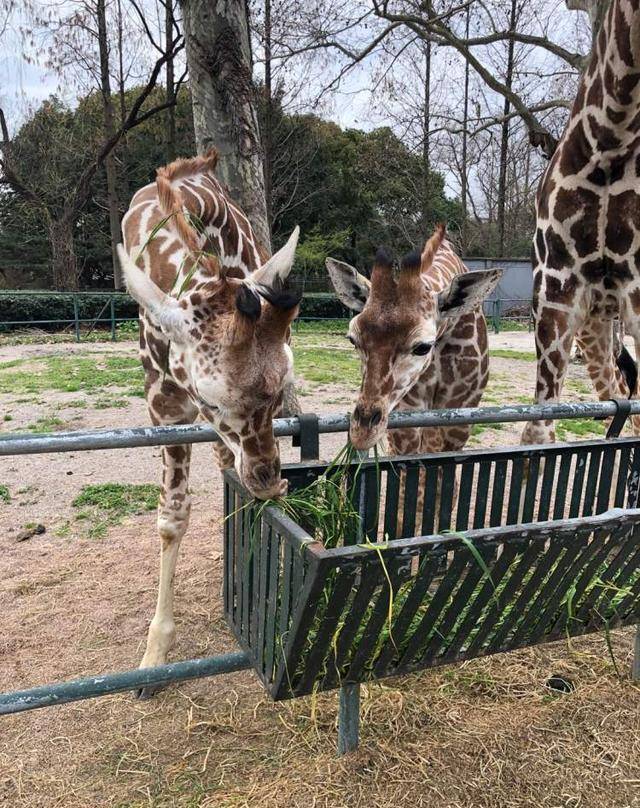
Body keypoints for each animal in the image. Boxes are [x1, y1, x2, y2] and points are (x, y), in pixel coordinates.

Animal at [119, 148, 300, 692]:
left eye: (280, 388)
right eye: (211, 399)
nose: (270, 481)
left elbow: (230, 482)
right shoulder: (164, 403)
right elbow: (171, 516)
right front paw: (154, 657)